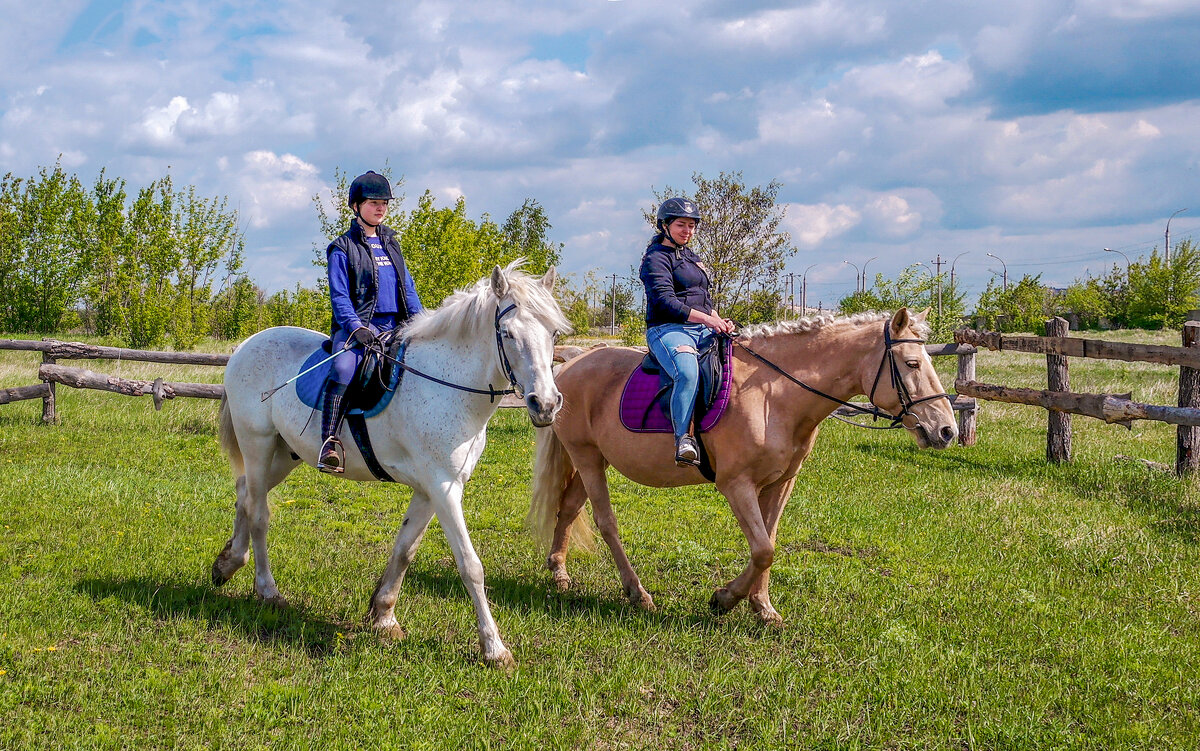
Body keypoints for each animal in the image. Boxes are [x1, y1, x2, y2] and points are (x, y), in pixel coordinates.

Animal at [211, 260, 566, 662]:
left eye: (554, 333)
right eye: (506, 333)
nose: (545, 404)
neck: (446, 385)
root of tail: (246, 345)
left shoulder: (431, 490)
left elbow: (405, 550)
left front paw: (383, 616)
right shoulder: (444, 488)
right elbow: (470, 565)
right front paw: (494, 648)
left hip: (285, 454)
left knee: (244, 494)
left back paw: (227, 563)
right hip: (257, 444)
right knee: (258, 512)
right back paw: (267, 591)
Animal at [530, 309, 960, 619]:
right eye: (912, 364)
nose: (946, 431)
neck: (776, 396)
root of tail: (568, 367)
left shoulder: (781, 483)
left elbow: (769, 541)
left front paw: (762, 607)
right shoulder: (737, 485)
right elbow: (763, 549)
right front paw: (725, 599)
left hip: (592, 459)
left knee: (569, 507)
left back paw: (559, 572)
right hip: (587, 457)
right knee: (606, 522)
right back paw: (637, 593)